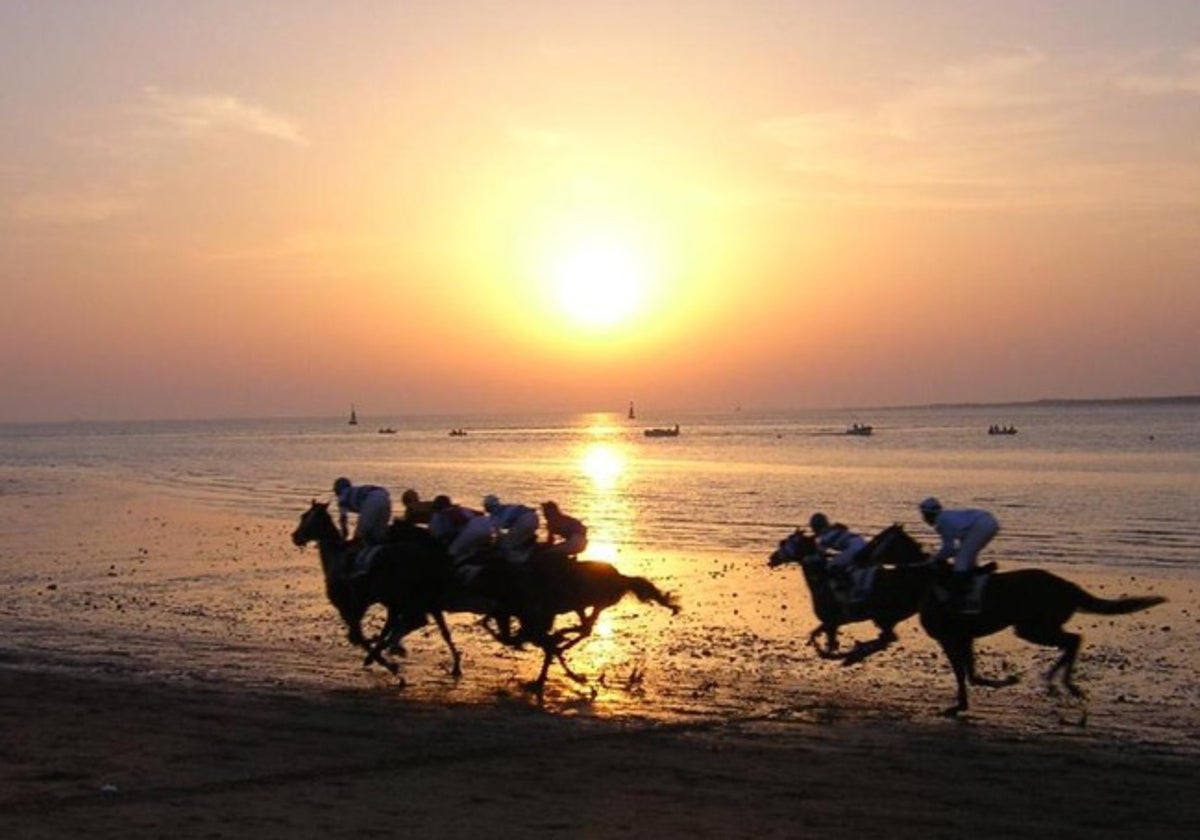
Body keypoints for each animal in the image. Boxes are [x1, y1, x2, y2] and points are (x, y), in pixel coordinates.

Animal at [290, 501, 463, 681]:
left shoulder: (350, 605)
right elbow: (362, 636)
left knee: (411, 622)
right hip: (408, 599)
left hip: (400, 598)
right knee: (424, 625)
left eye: (304, 516)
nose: (295, 536)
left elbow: (357, 636)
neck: (336, 558)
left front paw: (389, 665)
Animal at [772, 528, 931, 667]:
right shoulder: (831, 623)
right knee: (886, 638)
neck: (822, 579)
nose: (772, 558)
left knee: (887, 638)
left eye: (784, 542)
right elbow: (815, 636)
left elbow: (827, 650)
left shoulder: (831, 623)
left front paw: (848, 654)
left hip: (883, 618)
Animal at [868, 525, 1166, 715]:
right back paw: (1056, 681)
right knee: (1071, 641)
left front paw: (992, 688)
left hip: (1033, 626)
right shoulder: (964, 637)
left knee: (1073, 639)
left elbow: (964, 673)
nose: (862, 555)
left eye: (878, 540)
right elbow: (970, 674)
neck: (932, 582)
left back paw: (1061, 683)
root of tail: (1068, 586)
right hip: (1034, 626)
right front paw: (969, 700)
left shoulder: (949, 637)